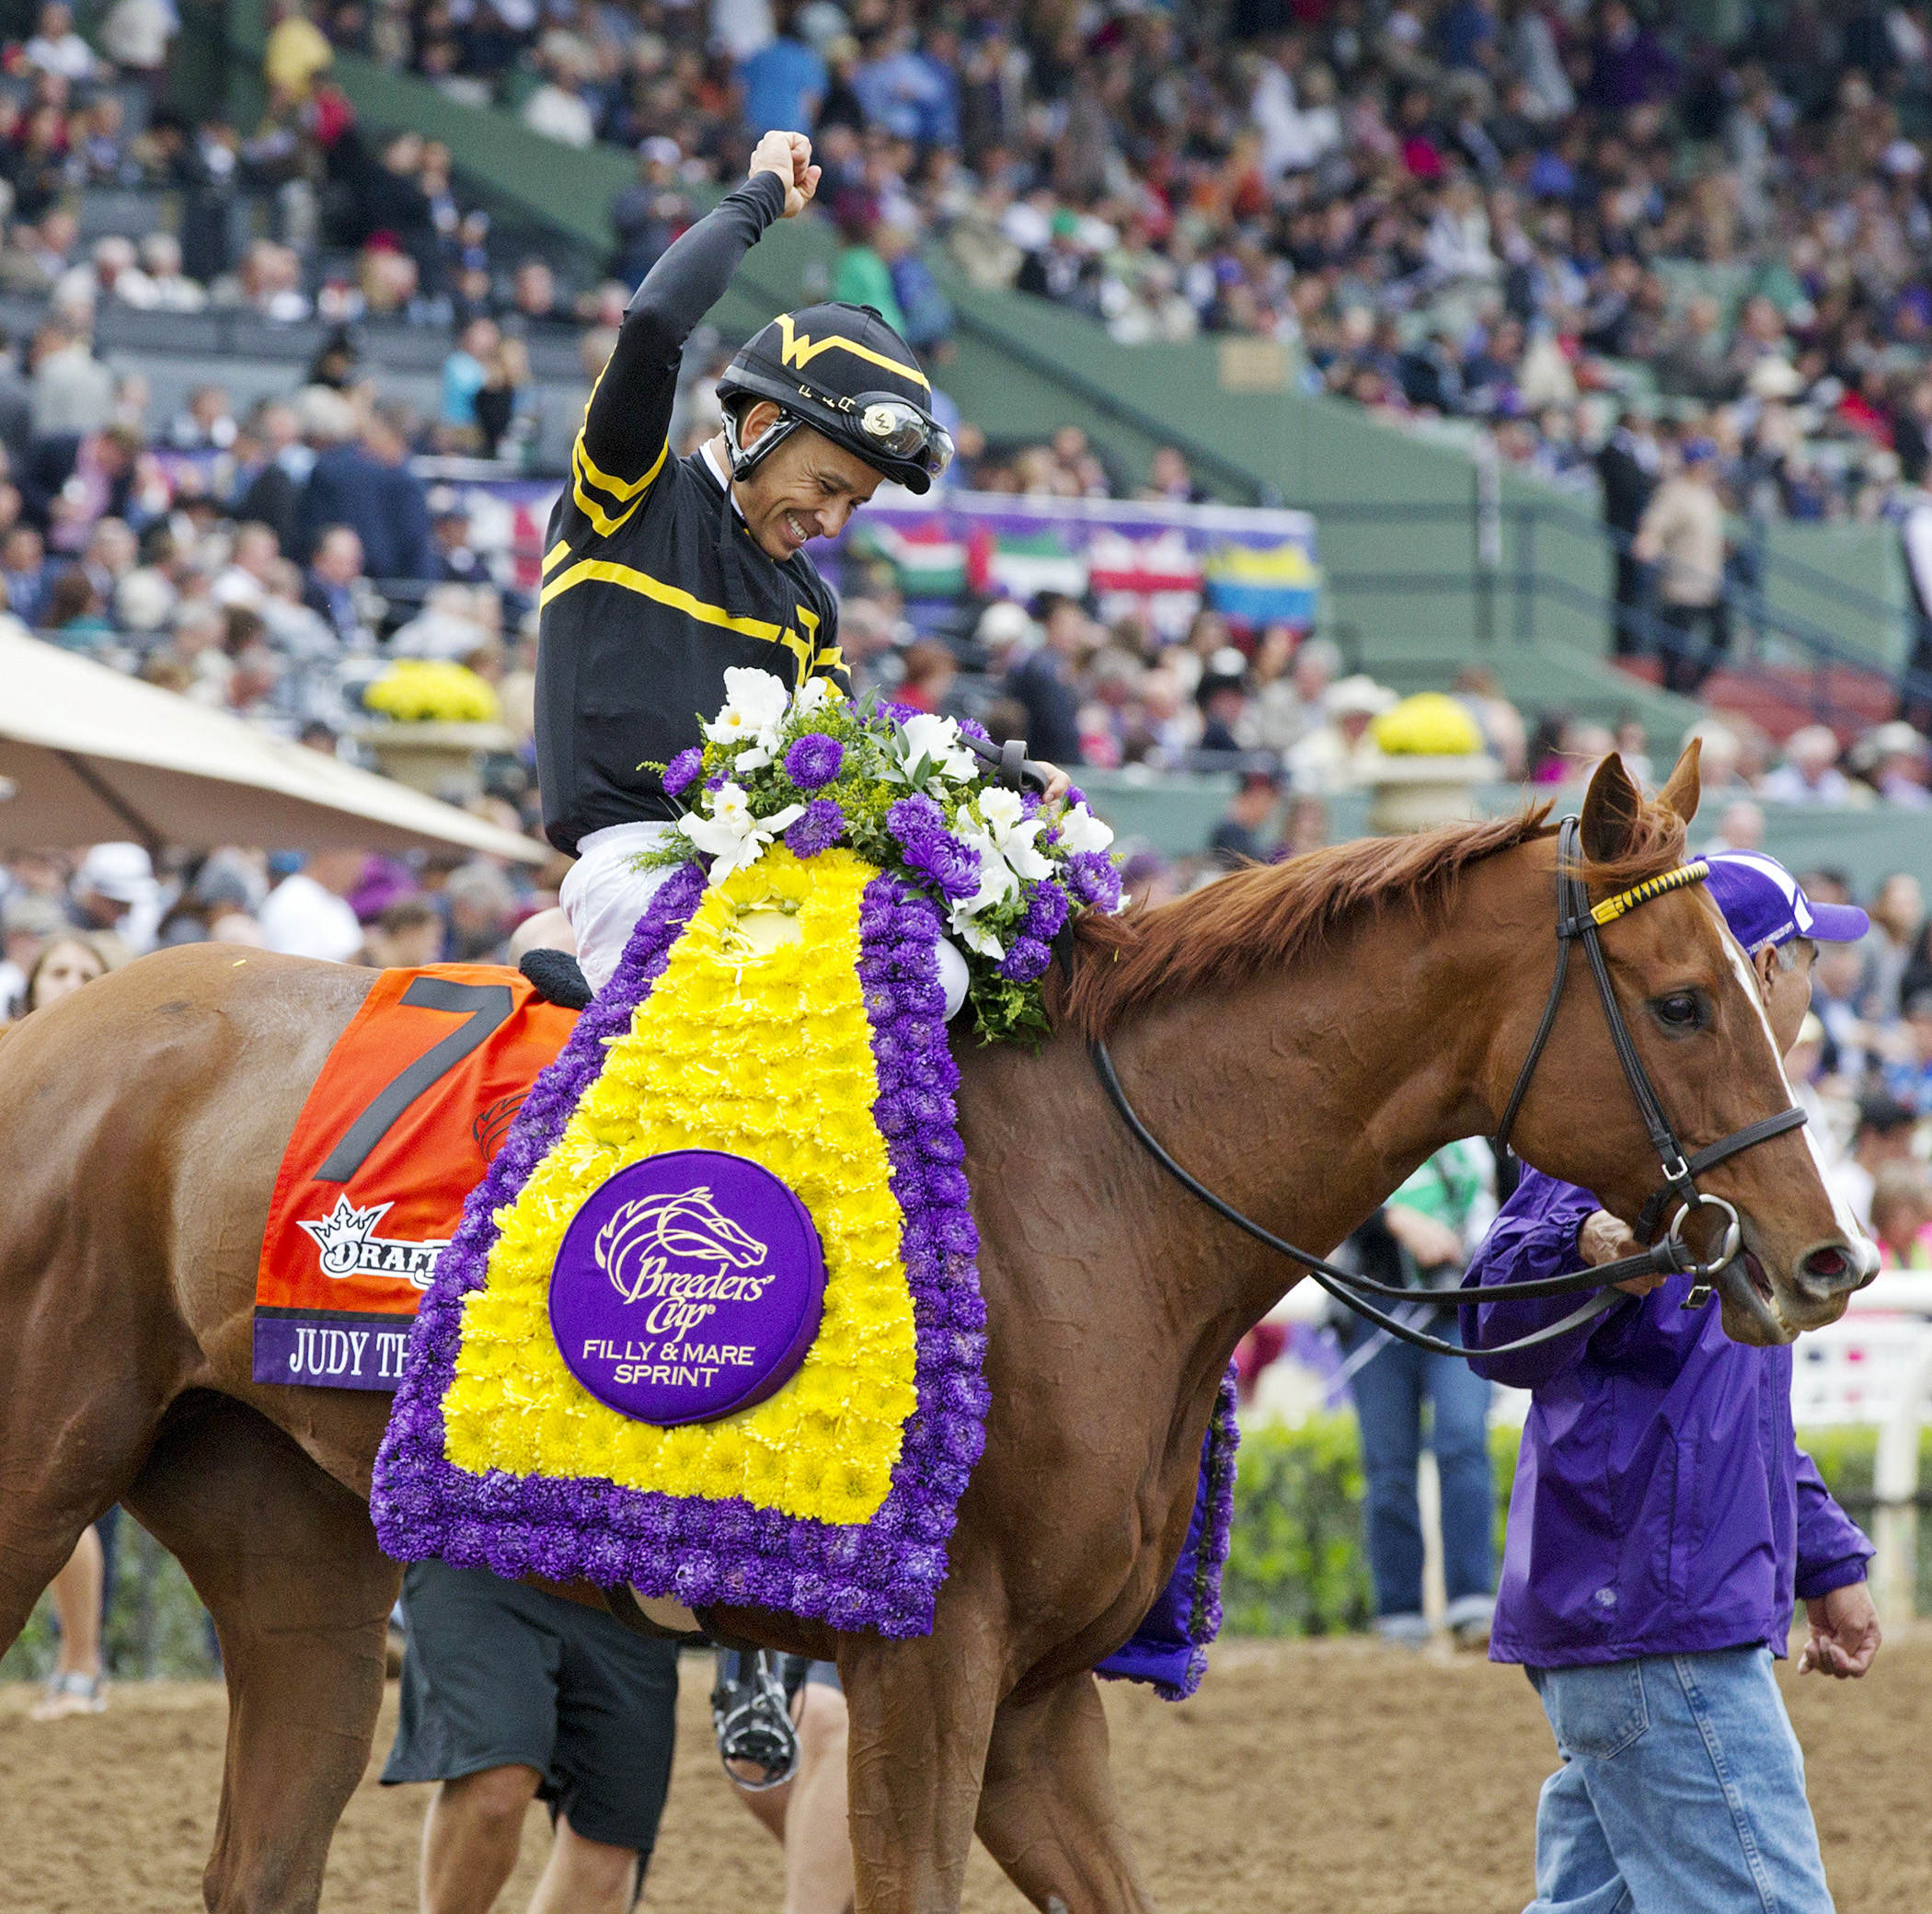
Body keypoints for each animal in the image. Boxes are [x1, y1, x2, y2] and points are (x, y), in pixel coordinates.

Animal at [0, 747, 1873, 1914]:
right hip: (42, 1489)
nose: (1828, 1259)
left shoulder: (1039, 1705)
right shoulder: (930, 1669)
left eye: (1757, 994)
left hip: (292, 1559)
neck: (1097, 1189)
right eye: (1684, 1002)